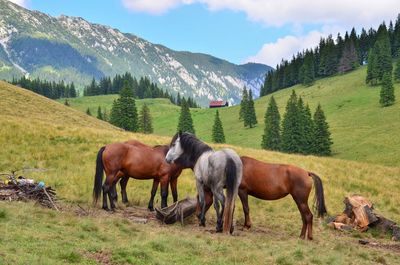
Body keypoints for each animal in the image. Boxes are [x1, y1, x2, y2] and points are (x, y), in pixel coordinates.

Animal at [198, 155, 326, 239]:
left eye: (201, 197)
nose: (199, 216)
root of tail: (307, 173)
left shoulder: (242, 191)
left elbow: (246, 209)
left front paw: (247, 226)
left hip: (301, 201)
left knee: (308, 216)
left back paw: (309, 237)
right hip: (299, 201)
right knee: (304, 217)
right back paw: (301, 236)